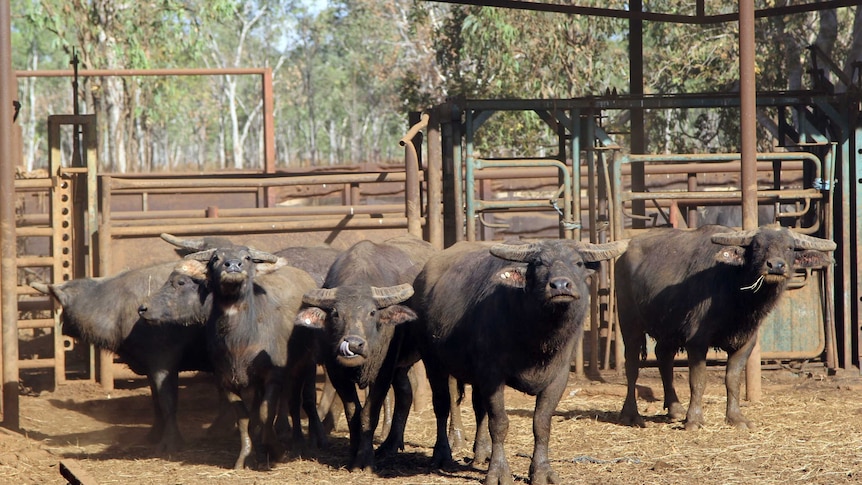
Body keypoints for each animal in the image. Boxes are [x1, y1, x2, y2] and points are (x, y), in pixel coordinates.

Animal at [296, 233, 438, 468]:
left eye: (372, 312)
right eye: (335, 313)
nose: (353, 345)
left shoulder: (383, 370)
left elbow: (369, 414)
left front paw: (365, 458)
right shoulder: (336, 372)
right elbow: (353, 413)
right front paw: (354, 455)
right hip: (401, 366)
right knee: (405, 393)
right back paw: (390, 445)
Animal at [414, 237, 628, 484]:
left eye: (578, 263)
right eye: (538, 263)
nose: (560, 286)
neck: (537, 337)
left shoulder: (558, 377)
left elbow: (541, 423)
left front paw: (542, 471)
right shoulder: (491, 375)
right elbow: (499, 423)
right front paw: (498, 472)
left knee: (479, 409)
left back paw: (482, 453)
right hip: (433, 361)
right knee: (441, 405)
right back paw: (442, 455)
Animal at [616, 222, 840, 428]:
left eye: (790, 247)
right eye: (757, 246)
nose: (775, 266)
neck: (737, 297)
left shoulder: (746, 342)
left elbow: (732, 379)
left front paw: (736, 418)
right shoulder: (696, 341)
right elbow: (698, 380)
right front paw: (694, 420)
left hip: (668, 330)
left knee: (663, 357)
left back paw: (675, 409)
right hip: (629, 323)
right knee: (632, 366)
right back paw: (631, 415)